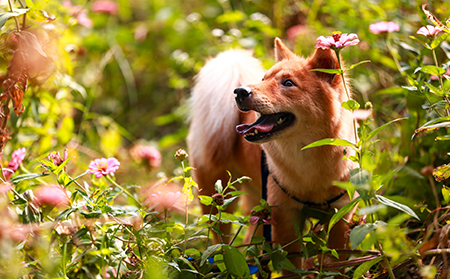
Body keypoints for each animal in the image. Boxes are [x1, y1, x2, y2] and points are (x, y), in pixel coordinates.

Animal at [186, 38, 356, 272]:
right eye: (264, 79)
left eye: (288, 83)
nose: (239, 91)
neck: (310, 161)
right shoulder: (284, 217)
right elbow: (292, 267)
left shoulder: (341, 217)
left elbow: (335, 263)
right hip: (217, 202)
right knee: (221, 241)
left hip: (257, 205)